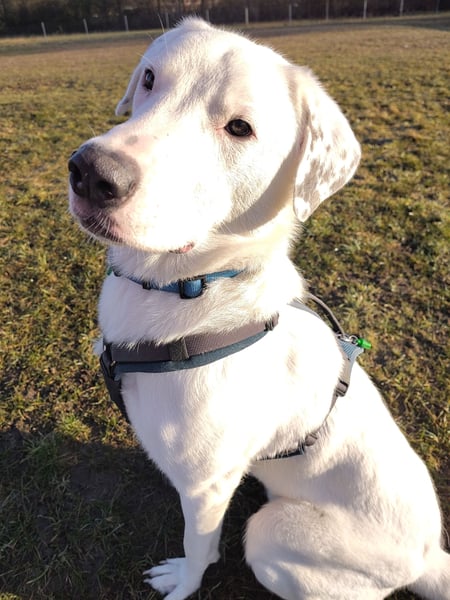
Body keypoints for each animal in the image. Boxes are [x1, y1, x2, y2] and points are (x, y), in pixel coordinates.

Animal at [68, 18, 449, 600]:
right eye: (150, 77)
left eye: (240, 128)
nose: (91, 173)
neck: (189, 288)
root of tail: (430, 557)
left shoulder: (205, 487)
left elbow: (199, 548)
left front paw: (184, 581)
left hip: (270, 535)